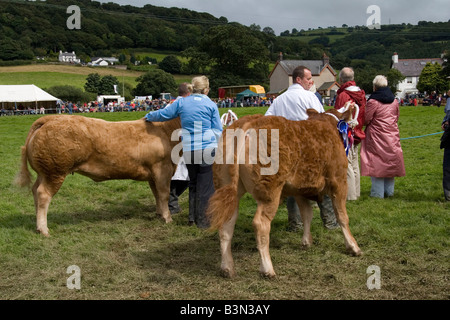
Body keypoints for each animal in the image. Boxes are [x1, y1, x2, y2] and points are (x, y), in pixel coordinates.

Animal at [15, 114, 181, 235]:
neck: (165, 130)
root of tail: (50, 118)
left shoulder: (153, 174)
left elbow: (156, 194)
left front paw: (159, 214)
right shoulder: (162, 169)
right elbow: (164, 194)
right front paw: (167, 218)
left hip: (44, 173)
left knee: (35, 191)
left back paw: (37, 222)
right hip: (55, 172)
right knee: (43, 194)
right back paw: (43, 229)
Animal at [208, 107, 362, 278]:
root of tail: (249, 121)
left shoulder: (300, 189)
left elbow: (307, 214)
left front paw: (306, 242)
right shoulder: (339, 181)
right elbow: (342, 216)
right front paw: (353, 247)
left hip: (226, 186)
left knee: (226, 224)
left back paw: (227, 268)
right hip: (270, 191)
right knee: (260, 223)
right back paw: (267, 269)